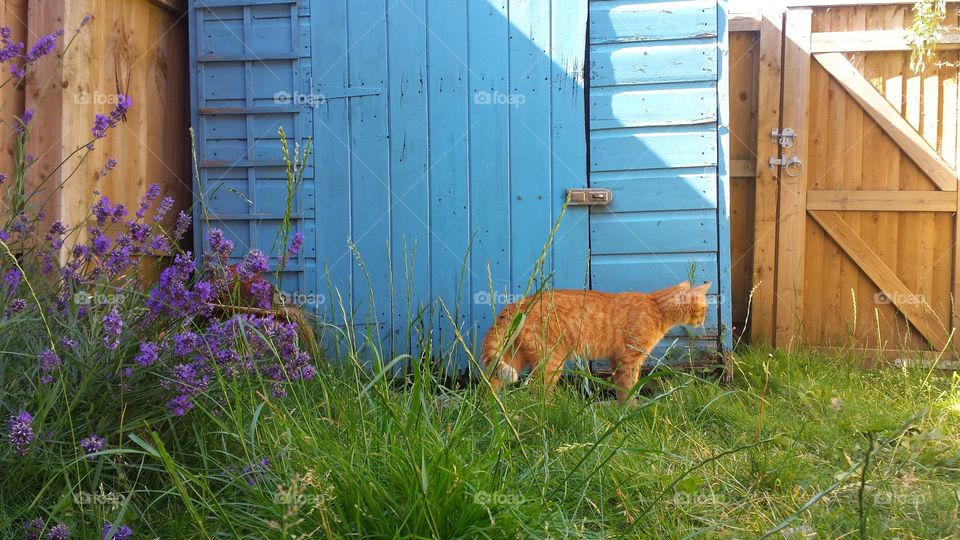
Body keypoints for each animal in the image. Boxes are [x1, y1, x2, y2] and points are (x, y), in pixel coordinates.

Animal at [480, 282, 712, 400]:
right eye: (705, 309)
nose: (703, 320)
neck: (656, 307)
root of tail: (517, 304)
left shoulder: (617, 361)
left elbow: (621, 391)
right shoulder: (629, 360)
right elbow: (629, 390)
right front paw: (630, 412)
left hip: (512, 359)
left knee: (490, 384)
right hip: (551, 362)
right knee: (537, 392)